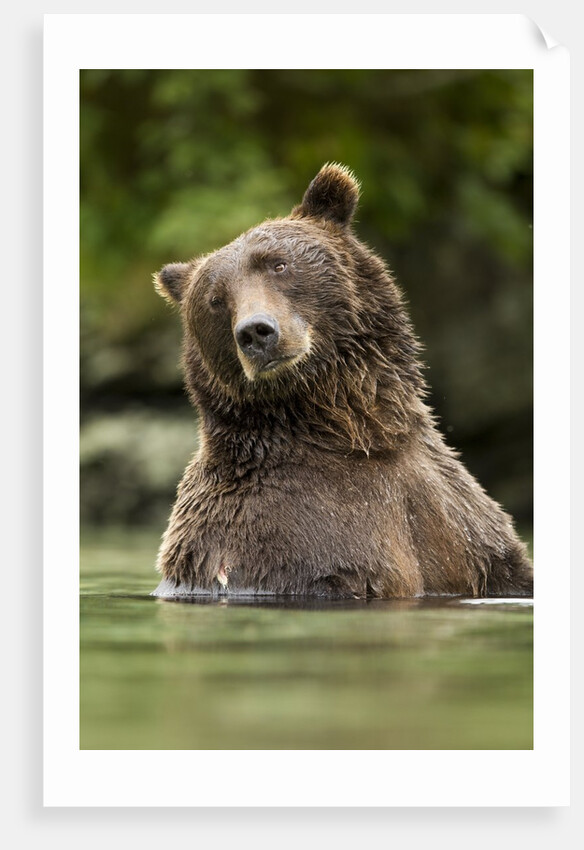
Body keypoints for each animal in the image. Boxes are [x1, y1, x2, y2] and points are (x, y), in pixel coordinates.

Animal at [152, 163, 533, 599]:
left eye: (278, 264)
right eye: (215, 299)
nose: (255, 332)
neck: (357, 434)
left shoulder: (457, 514)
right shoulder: (281, 534)